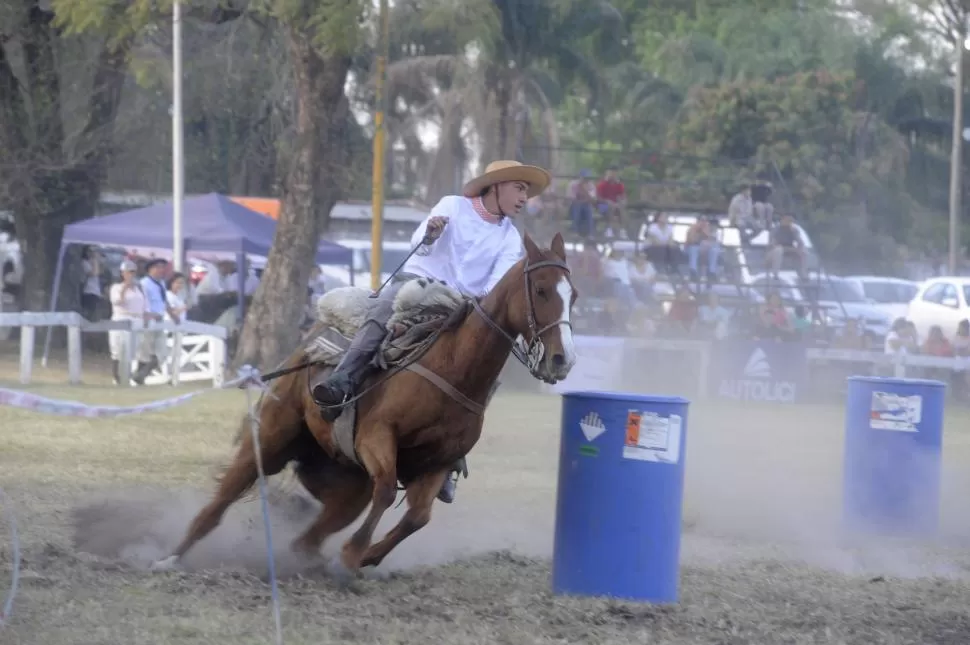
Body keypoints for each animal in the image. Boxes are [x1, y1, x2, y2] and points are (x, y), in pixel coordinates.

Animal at [150, 230, 576, 572]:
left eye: (572, 295)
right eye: (541, 289)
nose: (562, 359)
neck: (454, 367)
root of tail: (306, 345)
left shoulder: (436, 463)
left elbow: (418, 517)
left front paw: (366, 556)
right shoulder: (377, 437)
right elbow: (387, 490)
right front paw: (354, 554)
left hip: (347, 484)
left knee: (312, 533)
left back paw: (306, 557)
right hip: (271, 441)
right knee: (222, 501)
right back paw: (169, 558)